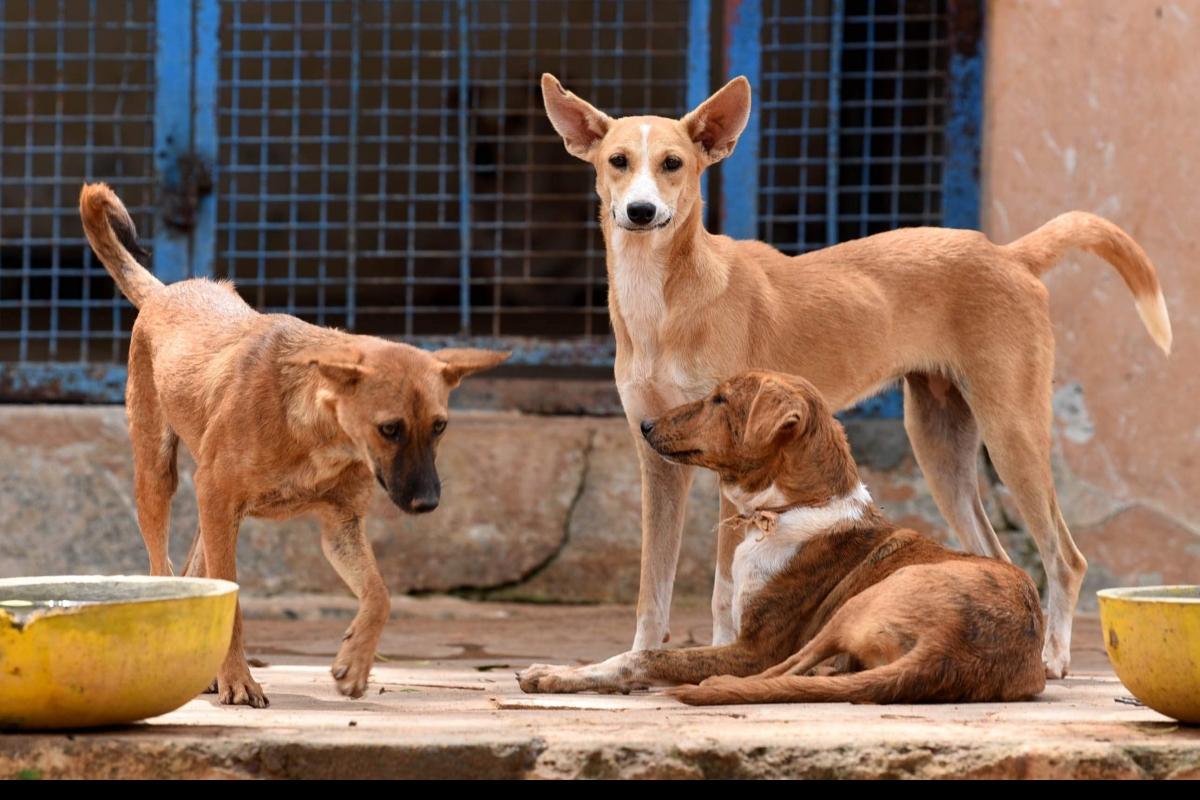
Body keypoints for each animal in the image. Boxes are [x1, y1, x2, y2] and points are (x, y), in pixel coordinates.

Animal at [78, 183, 511, 705]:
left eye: (440, 426)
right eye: (390, 428)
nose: (428, 503)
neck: (317, 434)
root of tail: (165, 292)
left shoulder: (339, 525)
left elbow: (381, 595)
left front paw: (355, 662)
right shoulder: (220, 497)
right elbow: (235, 600)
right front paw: (239, 681)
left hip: (211, 505)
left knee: (194, 572)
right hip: (158, 477)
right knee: (163, 570)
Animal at [520, 371, 1046, 705]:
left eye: (719, 400)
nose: (645, 424)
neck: (789, 509)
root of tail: (947, 651)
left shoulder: (755, 649)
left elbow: (644, 656)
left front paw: (555, 675)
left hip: (856, 605)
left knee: (780, 674)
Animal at [542, 71, 1171, 681]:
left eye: (673, 164)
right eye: (618, 161)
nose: (641, 213)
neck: (663, 300)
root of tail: (1008, 253)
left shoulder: (728, 465)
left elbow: (722, 594)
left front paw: (708, 657)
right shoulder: (657, 458)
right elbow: (652, 592)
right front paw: (625, 663)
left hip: (1012, 432)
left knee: (1065, 555)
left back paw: (1054, 656)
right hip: (939, 446)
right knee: (1001, 554)